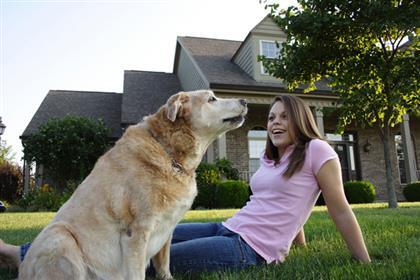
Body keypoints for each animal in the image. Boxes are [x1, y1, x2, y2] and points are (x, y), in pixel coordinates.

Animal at [19, 90, 248, 280]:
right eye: (211, 99)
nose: (245, 100)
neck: (170, 154)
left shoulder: (167, 229)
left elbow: (164, 264)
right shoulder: (136, 232)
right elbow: (138, 273)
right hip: (60, 237)